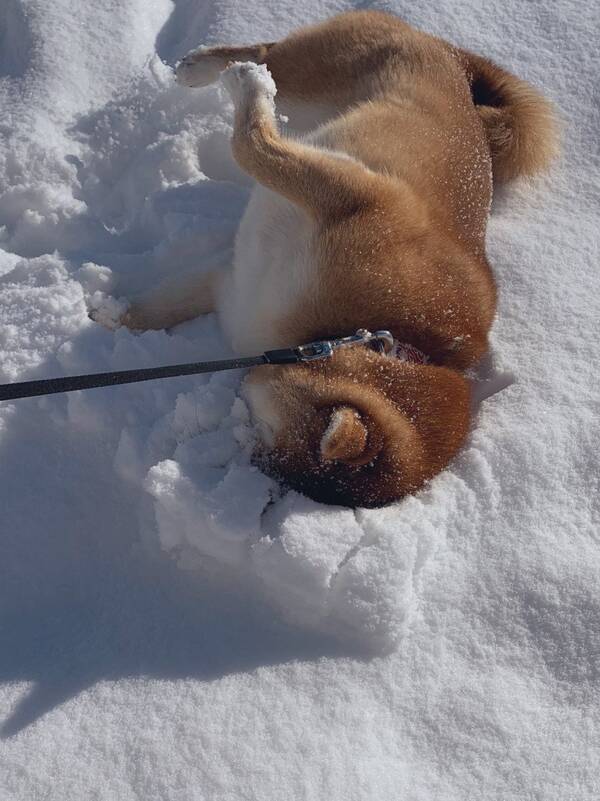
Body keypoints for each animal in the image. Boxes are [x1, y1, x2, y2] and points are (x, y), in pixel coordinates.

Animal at [120, 10, 556, 506]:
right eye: (264, 439)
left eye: (267, 452)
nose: (253, 482)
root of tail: (453, 57)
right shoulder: (350, 194)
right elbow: (250, 144)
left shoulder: (237, 289)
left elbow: (167, 302)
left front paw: (111, 314)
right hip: (310, 73)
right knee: (267, 53)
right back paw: (220, 71)